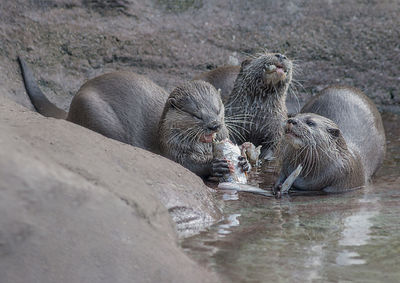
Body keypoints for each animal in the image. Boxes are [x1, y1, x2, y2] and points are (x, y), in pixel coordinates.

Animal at [18, 57, 247, 178]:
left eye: (218, 108)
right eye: (196, 114)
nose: (214, 125)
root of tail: (71, 107)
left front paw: (244, 161)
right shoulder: (171, 151)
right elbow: (187, 166)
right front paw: (215, 166)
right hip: (92, 109)